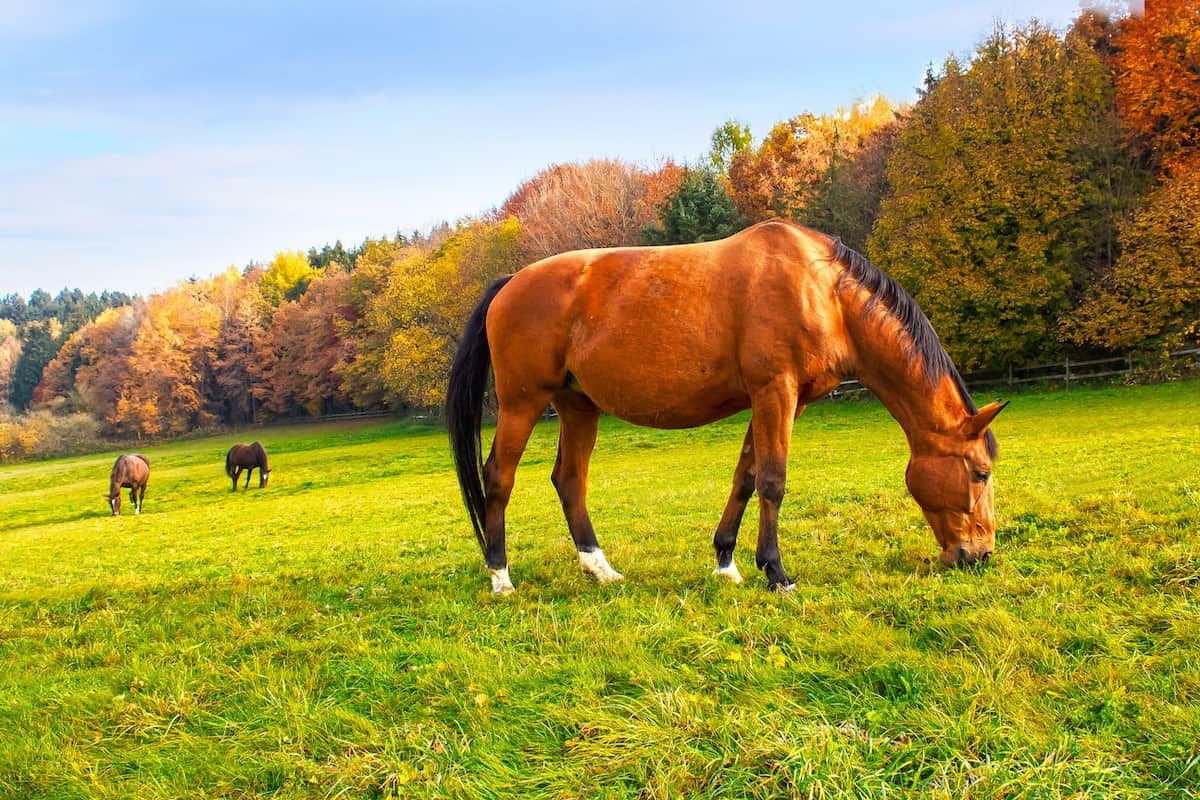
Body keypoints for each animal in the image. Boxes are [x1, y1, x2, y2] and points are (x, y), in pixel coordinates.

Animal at [446, 219, 1007, 595]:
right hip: (522, 403)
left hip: (578, 405)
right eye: (979, 473)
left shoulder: (784, 402)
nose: (978, 555)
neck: (822, 291)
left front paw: (727, 563)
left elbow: (747, 477)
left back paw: (600, 568)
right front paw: (777, 572)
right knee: (499, 477)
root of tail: (510, 283)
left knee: (569, 480)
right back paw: (500, 576)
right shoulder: (774, 392)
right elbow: (774, 481)